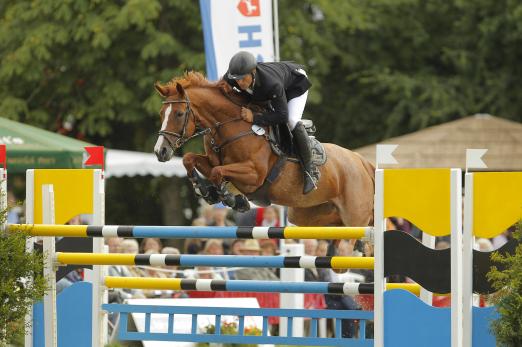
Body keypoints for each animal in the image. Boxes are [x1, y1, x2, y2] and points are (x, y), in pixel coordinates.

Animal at [152, 72, 372, 227]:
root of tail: (361, 161)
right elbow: (190, 159)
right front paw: (204, 189)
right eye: (161, 113)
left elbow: (218, 172)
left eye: (179, 114)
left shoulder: (254, 174)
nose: (160, 151)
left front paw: (232, 199)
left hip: (354, 218)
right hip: (309, 215)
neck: (231, 126)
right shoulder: (212, 161)